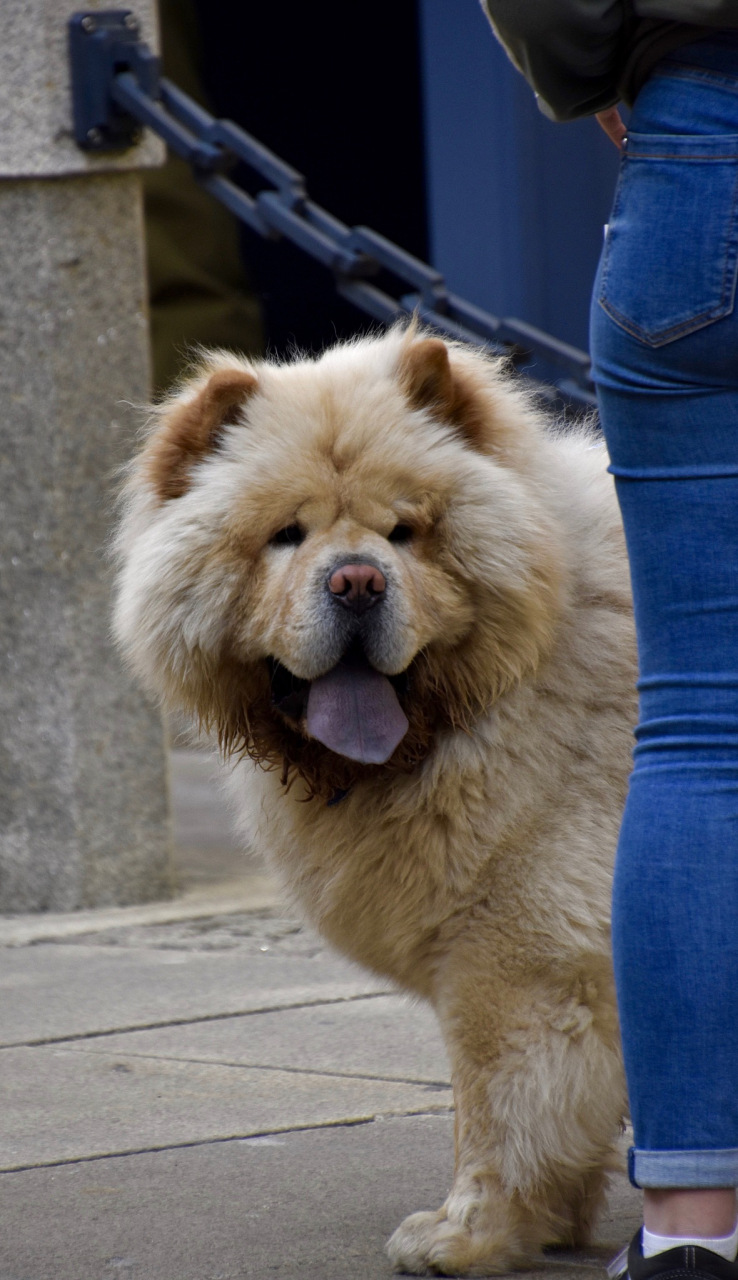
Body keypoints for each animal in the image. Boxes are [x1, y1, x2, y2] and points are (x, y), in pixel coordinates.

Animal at [113, 325, 634, 1274]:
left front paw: (466, 1233)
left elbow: (496, 1106)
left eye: (405, 531)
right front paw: (548, 1224)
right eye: (286, 534)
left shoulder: (519, 952)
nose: (358, 580)